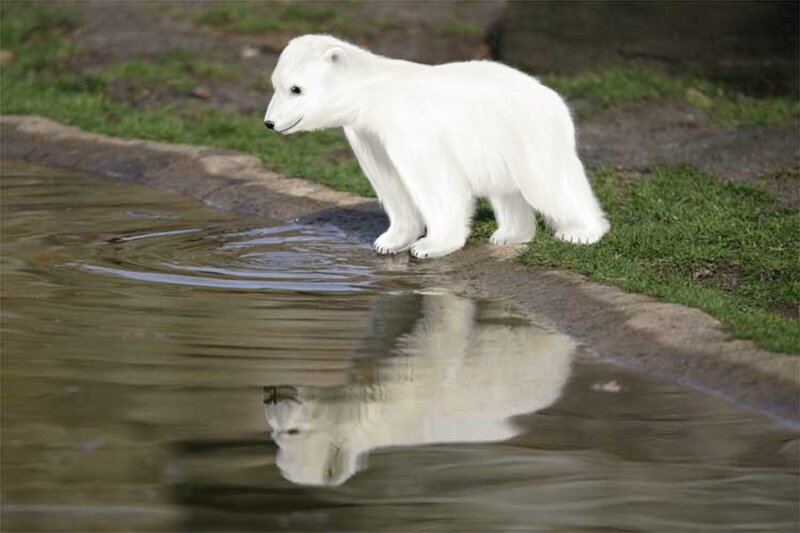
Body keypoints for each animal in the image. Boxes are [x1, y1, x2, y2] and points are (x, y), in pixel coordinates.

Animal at [263, 291, 575, 486]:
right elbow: (393, 319)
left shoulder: (415, 381)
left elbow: (442, 328)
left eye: (292, 432)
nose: (270, 396)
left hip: (531, 352)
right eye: (274, 433)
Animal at [264, 34, 609, 258]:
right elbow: (391, 182)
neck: (374, 93)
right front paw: (390, 241)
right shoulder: (369, 135)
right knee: (507, 190)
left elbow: (434, 181)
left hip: (528, 132)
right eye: (275, 84)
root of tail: (554, 97)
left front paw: (430, 246)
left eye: (296, 89)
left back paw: (582, 231)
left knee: (548, 182)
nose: (269, 123)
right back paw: (509, 234)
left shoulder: (409, 124)